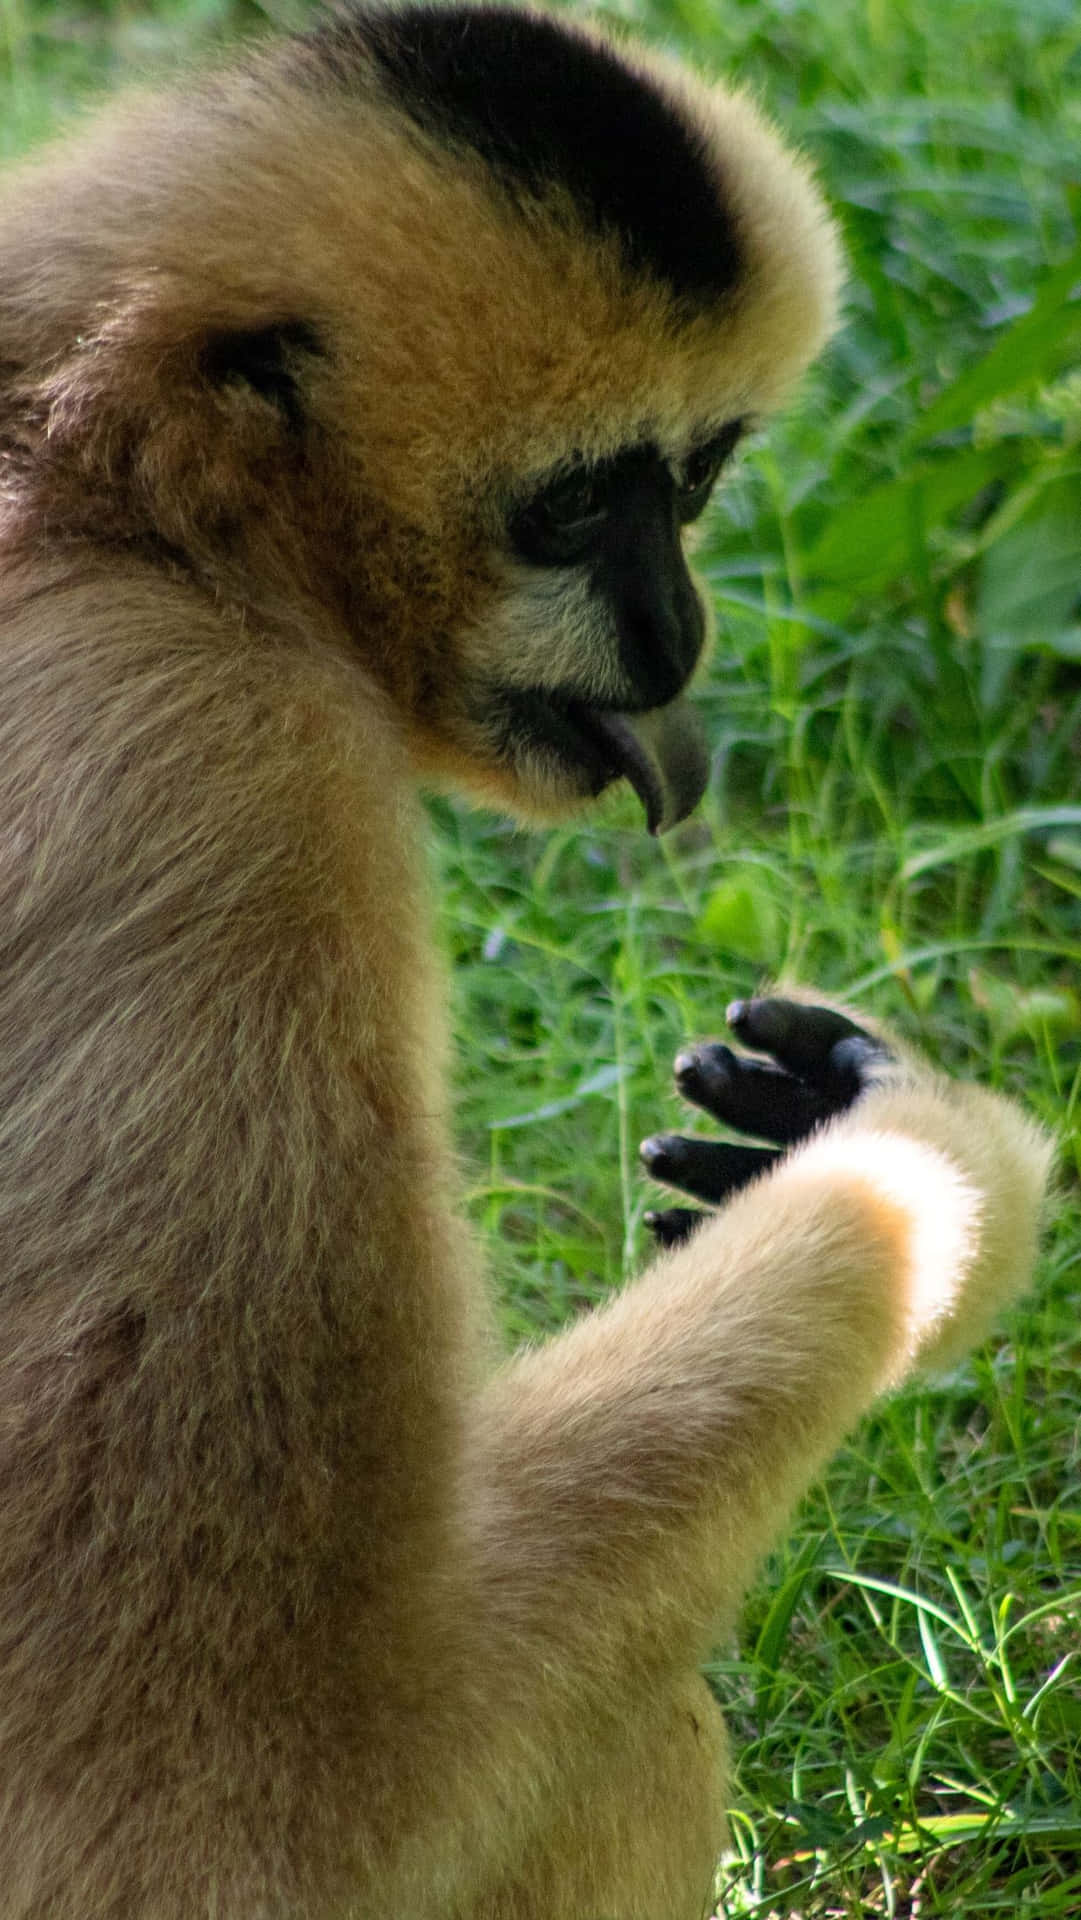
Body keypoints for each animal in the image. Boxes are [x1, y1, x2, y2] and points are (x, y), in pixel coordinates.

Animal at [0, 5, 1051, 1917]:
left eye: (693, 482)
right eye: (572, 514)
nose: (676, 629)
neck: (119, 501)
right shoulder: (205, 769)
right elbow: (253, 1795)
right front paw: (933, 1176)